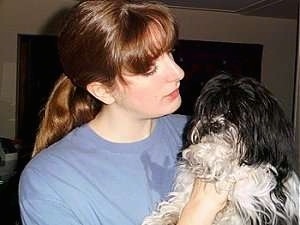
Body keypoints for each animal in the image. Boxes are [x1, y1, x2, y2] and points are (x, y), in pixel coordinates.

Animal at [142, 74, 298, 225]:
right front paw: (164, 217)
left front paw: (204, 154)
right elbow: (181, 198)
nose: (214, 124)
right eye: (209, 110)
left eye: (240, 113)